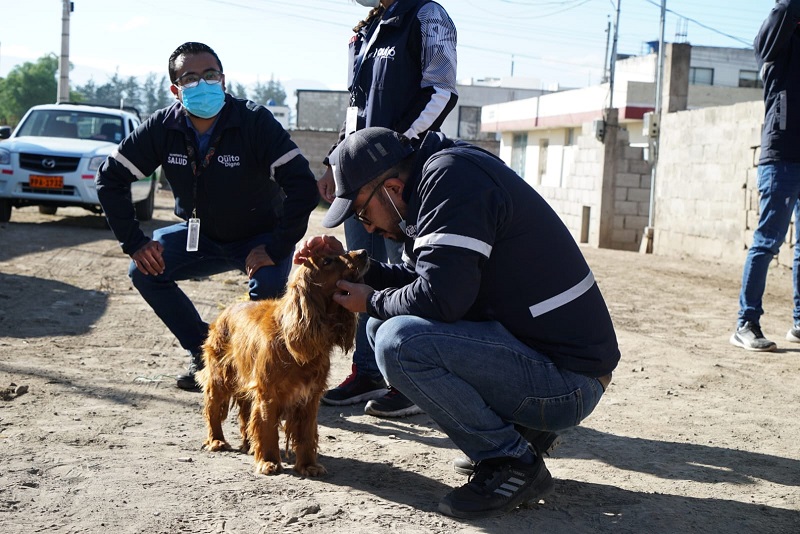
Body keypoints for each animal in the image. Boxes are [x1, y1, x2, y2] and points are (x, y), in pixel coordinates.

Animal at [195, 250, 370, 478]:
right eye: (327, 261)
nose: (364, 253)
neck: (291, 338)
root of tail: (227, 309)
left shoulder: (310, 397)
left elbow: (306, 435)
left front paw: (308, 465)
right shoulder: (269, 394)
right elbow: (268, 429)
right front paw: (268, 461)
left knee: (245, 416)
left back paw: (248, 445)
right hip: (220, 377)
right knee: (213, 409)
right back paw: (216, 440)